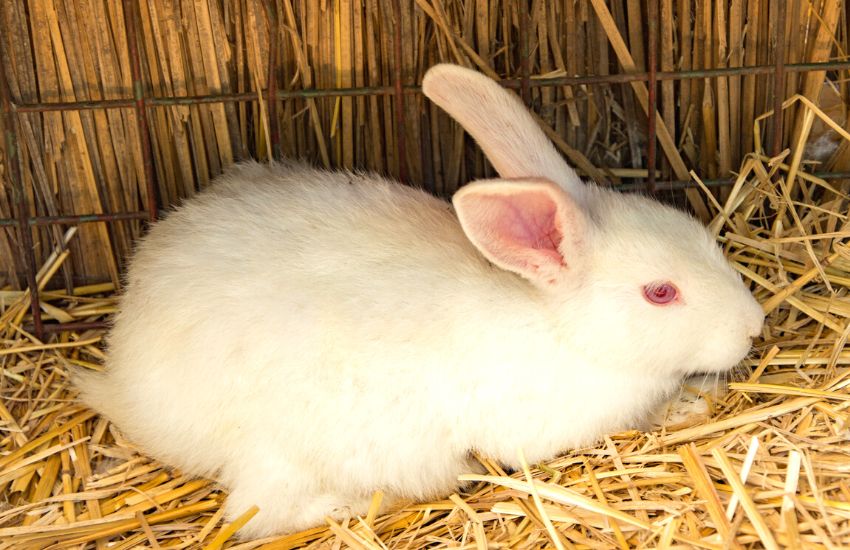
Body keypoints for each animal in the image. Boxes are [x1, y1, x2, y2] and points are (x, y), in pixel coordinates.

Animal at [74, 63, 760, 540]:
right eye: (660, 293)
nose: (754, 326)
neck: (557, 329)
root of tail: (125, 380)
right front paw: (693, 400)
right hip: (293, 452)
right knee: (260, 513)